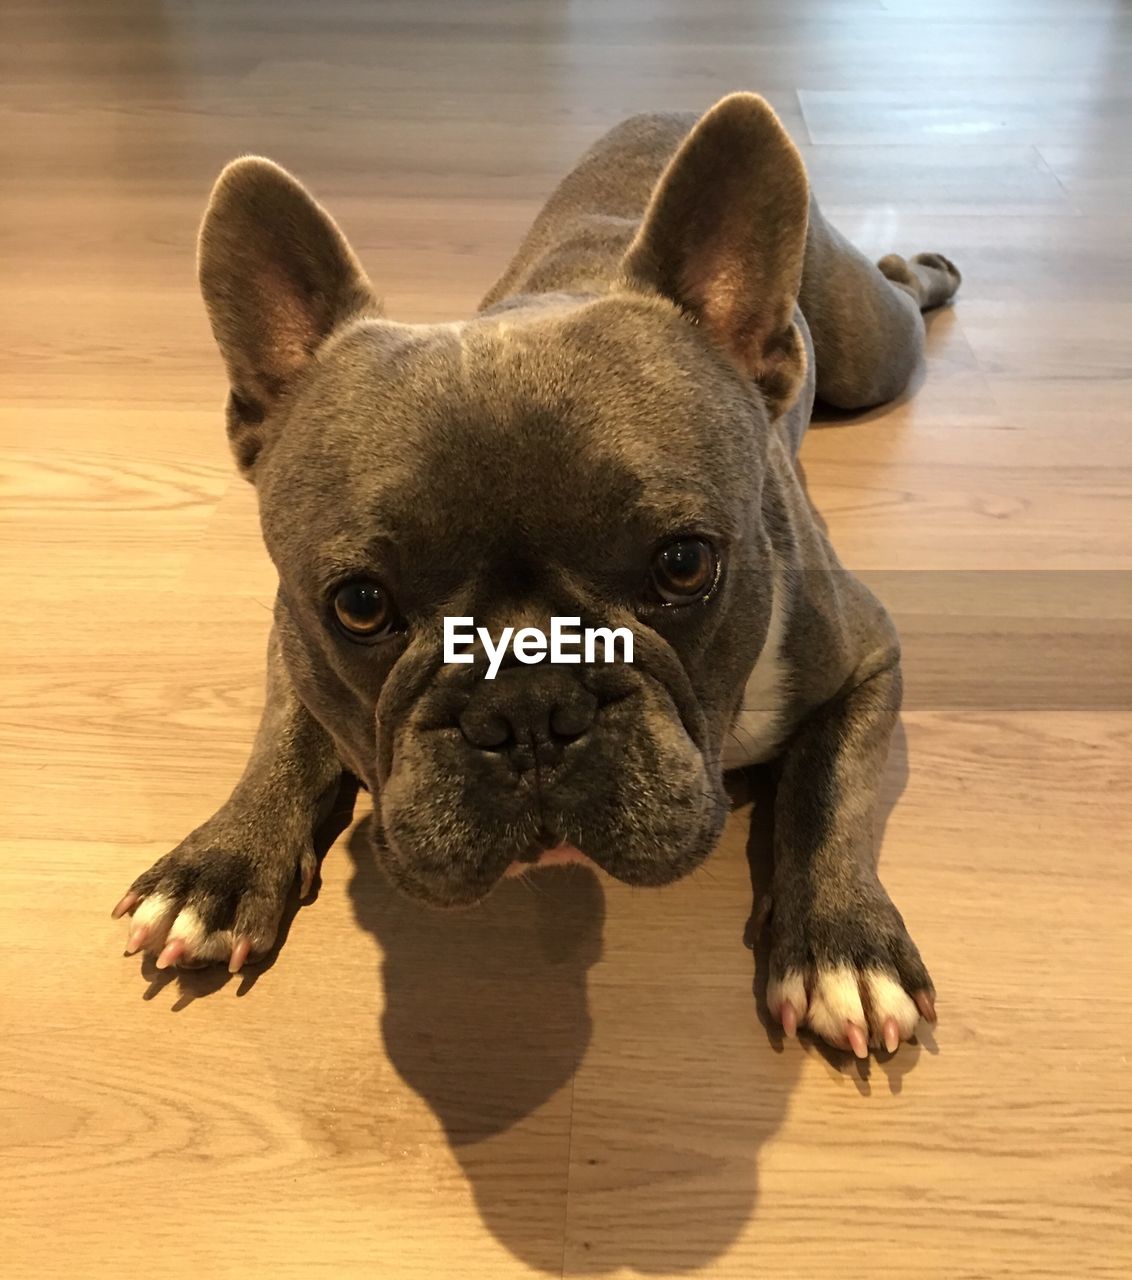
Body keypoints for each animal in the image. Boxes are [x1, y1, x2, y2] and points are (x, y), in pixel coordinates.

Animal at [115, 94, 952, 1059]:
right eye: (359, 606)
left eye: (684, 564)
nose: (526, 706)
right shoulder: (291, 630)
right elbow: (284, 732)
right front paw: (219, 865)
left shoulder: (869, 659)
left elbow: (831, 788)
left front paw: (842, 945)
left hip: (869, 351)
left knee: (898, 305)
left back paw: (925, 267)